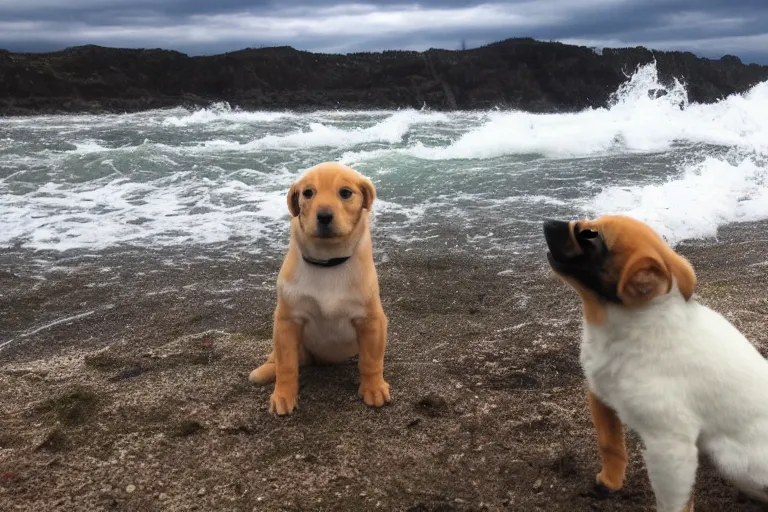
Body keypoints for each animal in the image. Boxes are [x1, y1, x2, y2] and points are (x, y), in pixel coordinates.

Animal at [249, 162, 390, 414]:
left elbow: (371, 361)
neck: (328, 262)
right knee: (282, 358)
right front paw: (283, 395)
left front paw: (373, 388)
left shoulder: (371, 320)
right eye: (308, 193)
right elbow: (286, 365)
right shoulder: (287, 321)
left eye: (345, 192)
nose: (324, 216)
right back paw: (264, 371)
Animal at [544, 216, 768, 512]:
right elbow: (609, 444)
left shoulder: (670, 446)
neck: (632, 327)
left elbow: (673, 502)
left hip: (732, 460)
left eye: (590, 236)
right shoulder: (599, 392)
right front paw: (610, 482)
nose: (546, 222)